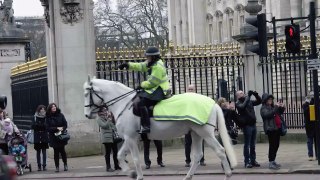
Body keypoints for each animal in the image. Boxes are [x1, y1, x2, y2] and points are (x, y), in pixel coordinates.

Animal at [84, 77, 236, 180]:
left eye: (86, 93)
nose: (87, 115)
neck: (125, 104)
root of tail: (213, 102)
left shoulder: (130, 138)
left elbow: (135, 159)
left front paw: (138, 176)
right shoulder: (130, 138)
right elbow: (119, 155)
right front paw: (131, 173)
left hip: (205, 133)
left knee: (220, 151)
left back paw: (227, 175)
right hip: (196, 133)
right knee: (198, 155)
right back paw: (187, 177)